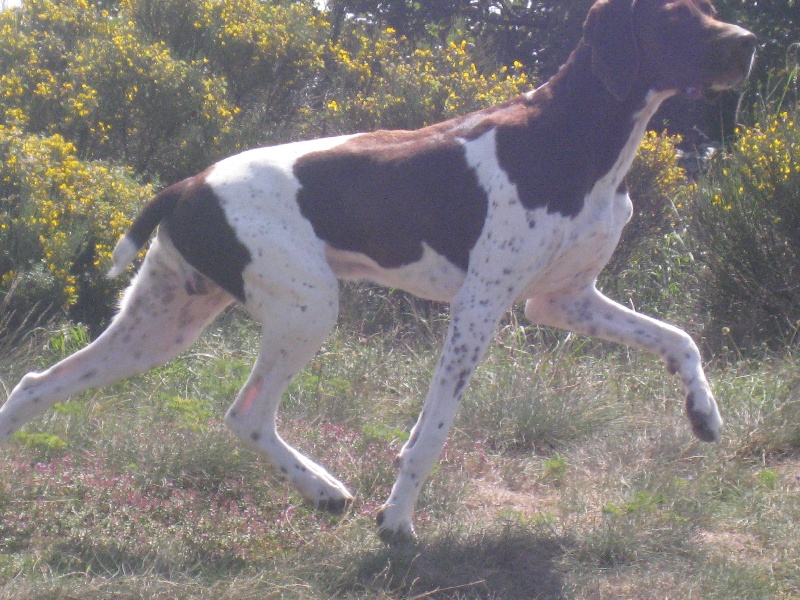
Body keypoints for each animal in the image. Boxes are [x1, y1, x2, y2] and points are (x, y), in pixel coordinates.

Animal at [0, 0, 752, 544]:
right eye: (676, 16)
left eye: (711, 9)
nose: (747, 43)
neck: (575, 135)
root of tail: (189, 184)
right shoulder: (480, 307)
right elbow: (433, 431)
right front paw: (396, 522)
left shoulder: (564, 301)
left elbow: (681, 338)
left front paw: (704, 414)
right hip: (307, 310)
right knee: (246, 413)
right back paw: (323, 488)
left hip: (163, 325)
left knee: (37, 384)